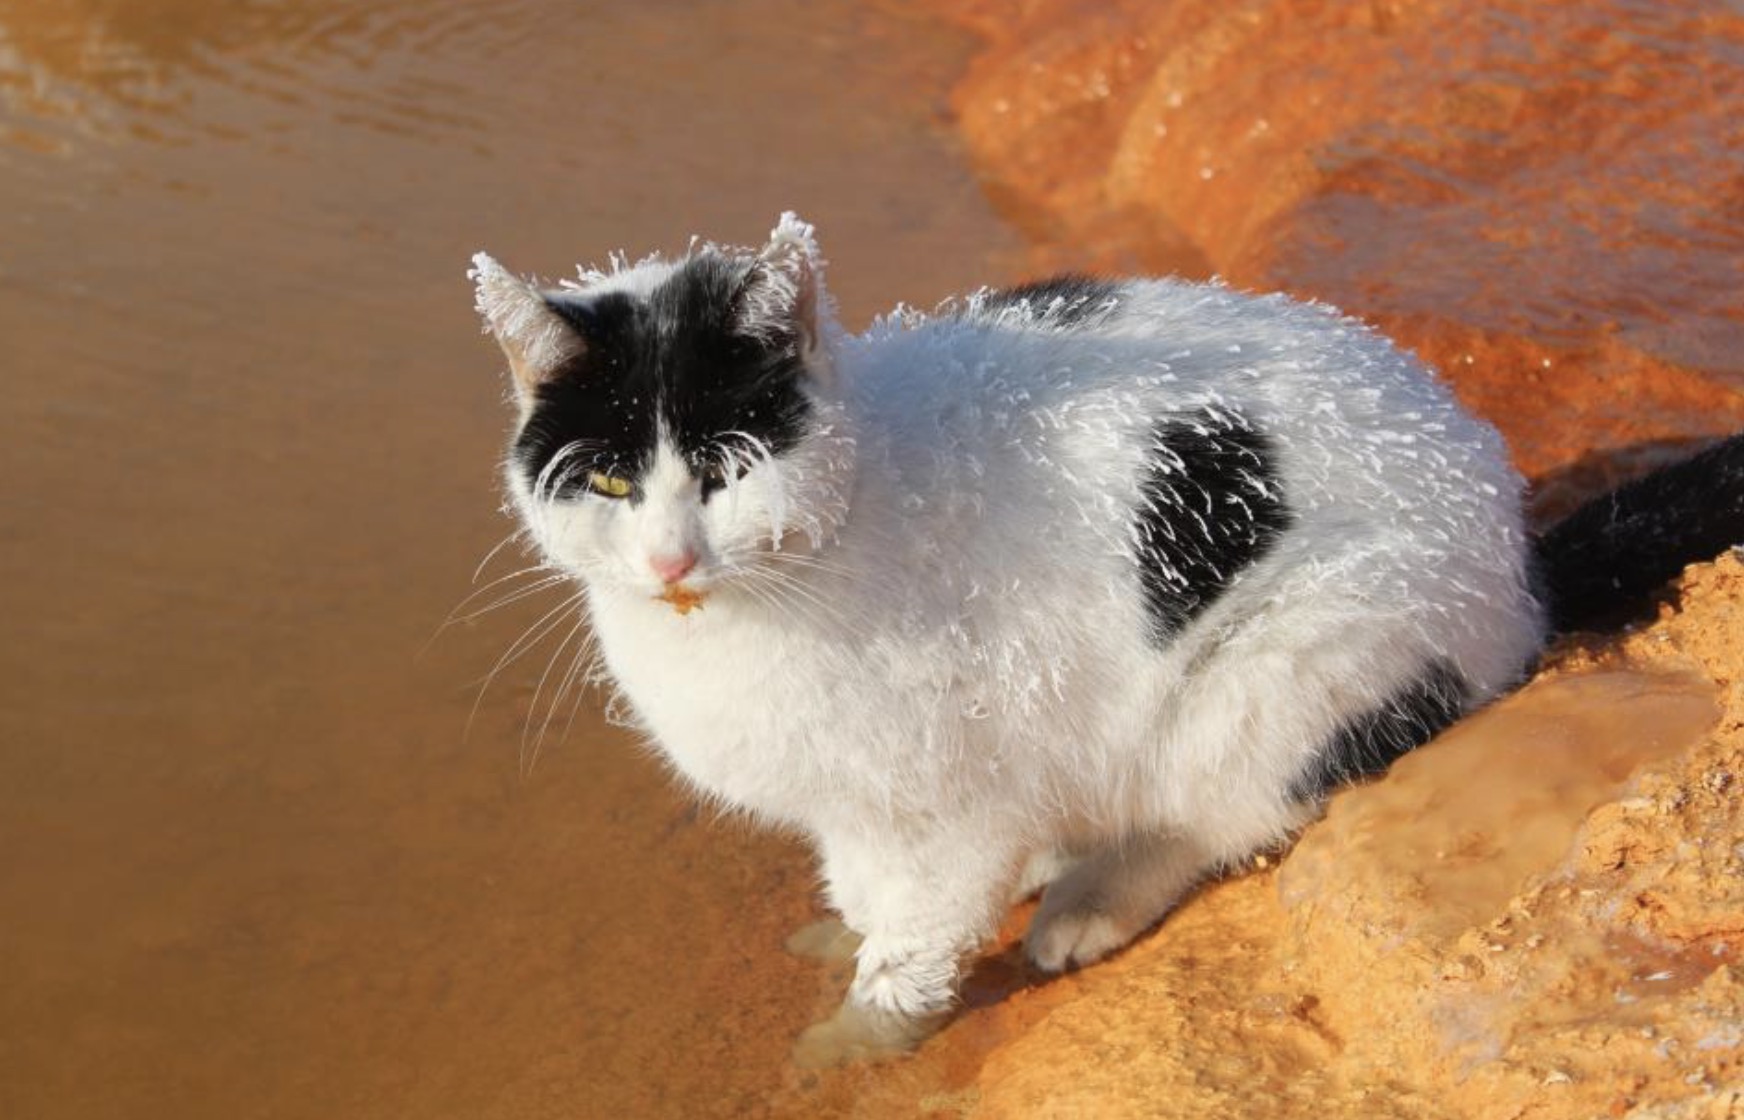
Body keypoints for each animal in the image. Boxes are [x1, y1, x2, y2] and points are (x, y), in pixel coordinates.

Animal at [463, 213, 1744, 1060]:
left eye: (726, 471)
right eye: (611, 480)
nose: (670, 561)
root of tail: (1517, 551)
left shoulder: (952, 799)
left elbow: (916, 937)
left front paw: (852, 1046)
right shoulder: (854, 802)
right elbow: (868, 884)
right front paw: (851, 938)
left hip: (1283, 668)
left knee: (1215, 813)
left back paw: (1084, 900)